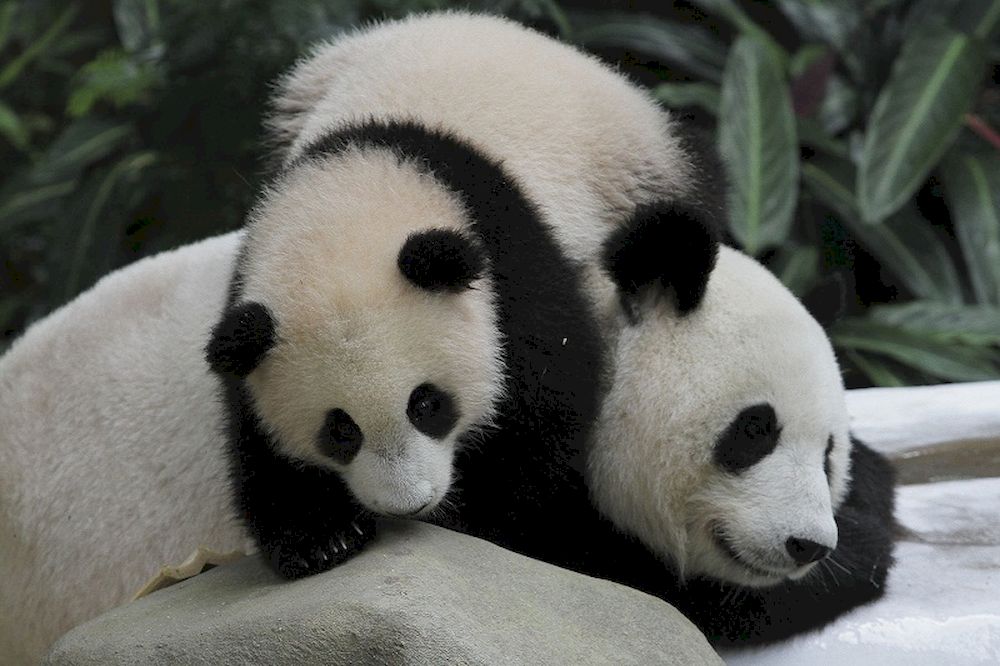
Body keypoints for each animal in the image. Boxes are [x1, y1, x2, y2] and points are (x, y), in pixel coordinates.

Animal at [207, 11, 718, 578]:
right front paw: (322, 537)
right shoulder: (249, 306)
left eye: (427, 404)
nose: (410, 504)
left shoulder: (512, 262)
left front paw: (475, 518)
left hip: (640, 174)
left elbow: (547, 408)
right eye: (340, 431)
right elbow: (257, 441)